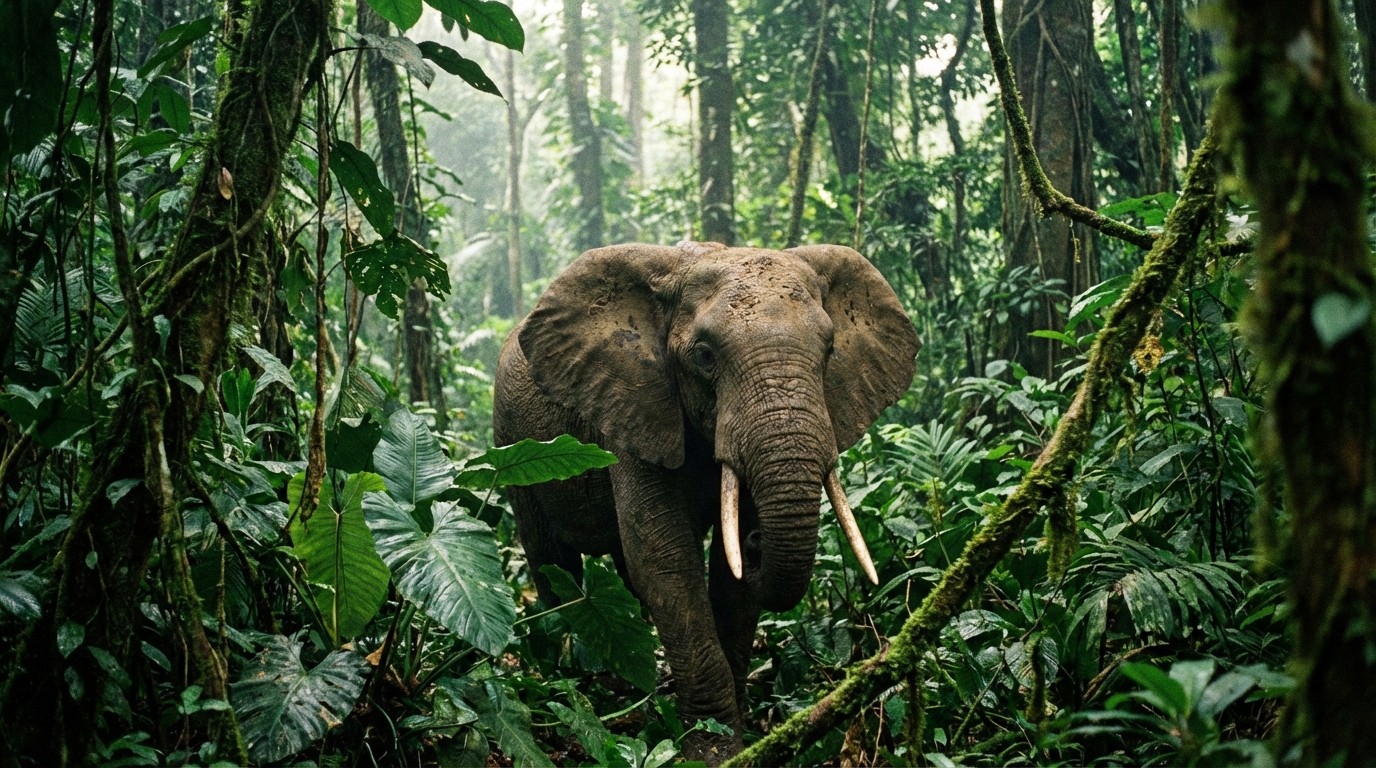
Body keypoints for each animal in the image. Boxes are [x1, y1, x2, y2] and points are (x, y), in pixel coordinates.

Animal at [493, 241, 919, 761]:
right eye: (704, 355)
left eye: (830, 351)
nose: (754, 541)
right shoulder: (635, 407)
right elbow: (666, 564)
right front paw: (712, 750)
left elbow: (724, 580)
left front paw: (738, 735)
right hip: (513, 446)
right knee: (553, 565)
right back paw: (567, 680)